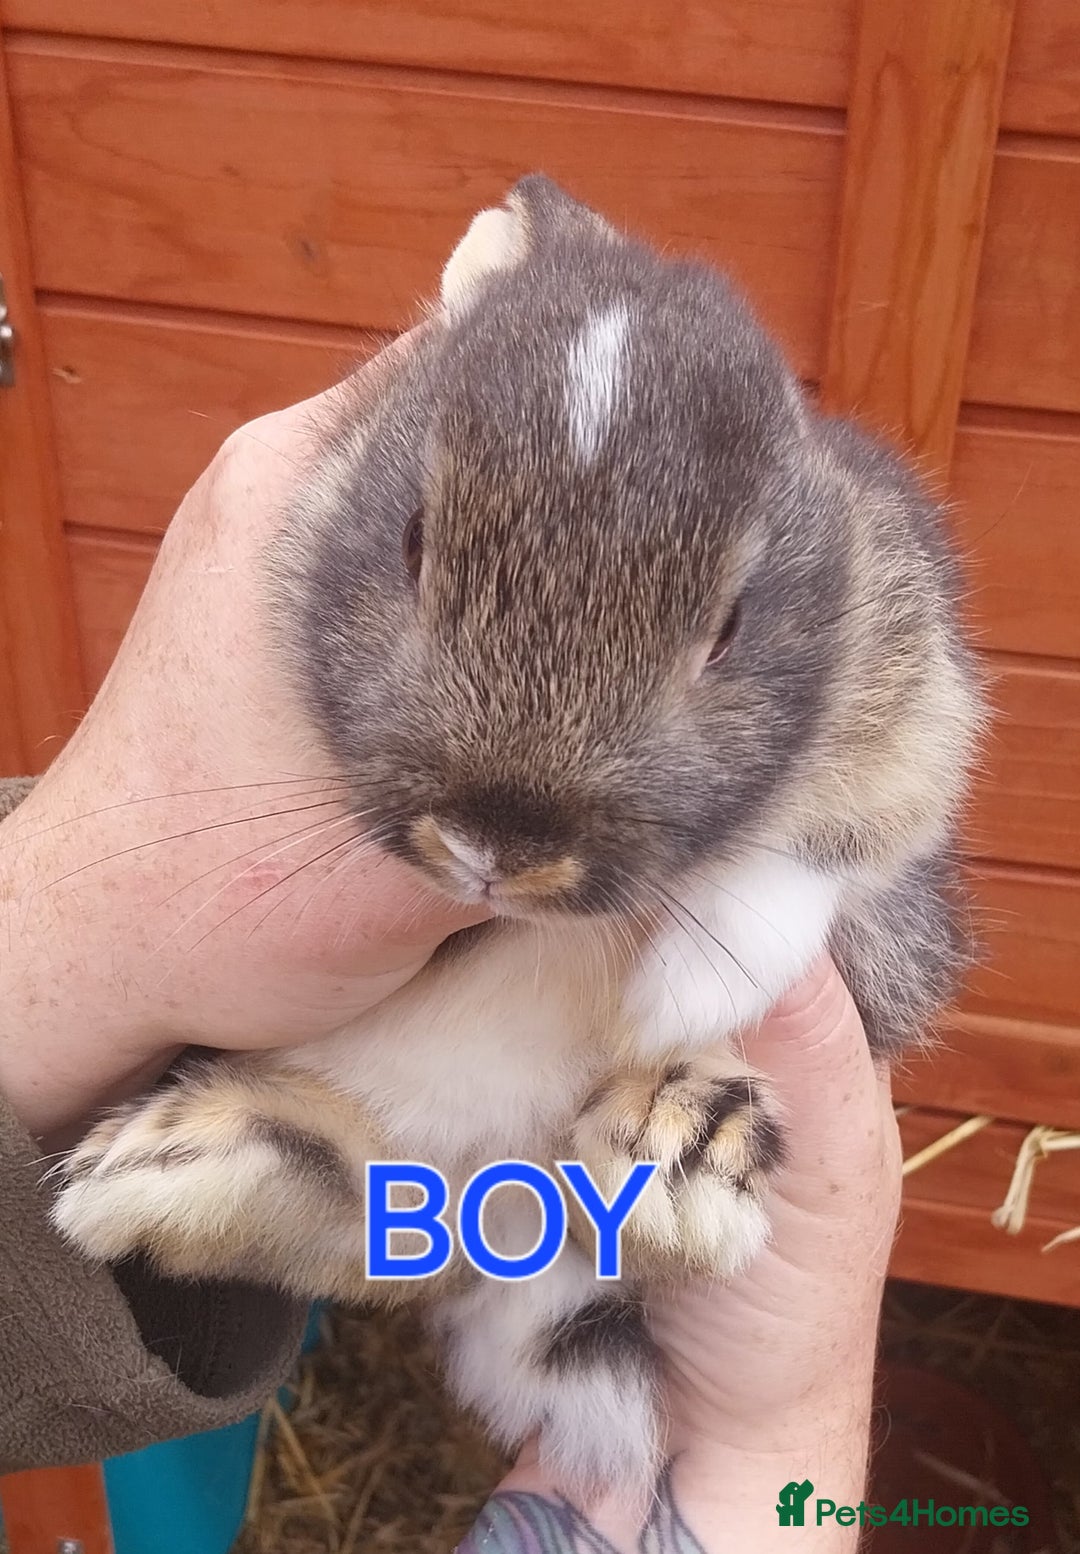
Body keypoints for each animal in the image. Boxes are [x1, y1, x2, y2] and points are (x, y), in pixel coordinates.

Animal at [53, 175, 981, 1497]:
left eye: (730, 625)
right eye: (410, 538)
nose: (496, 841)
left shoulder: (916, 718)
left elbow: (805, 867)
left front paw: (687, 990)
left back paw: (678, 1148)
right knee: (367, 1230)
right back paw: (172, 1169)